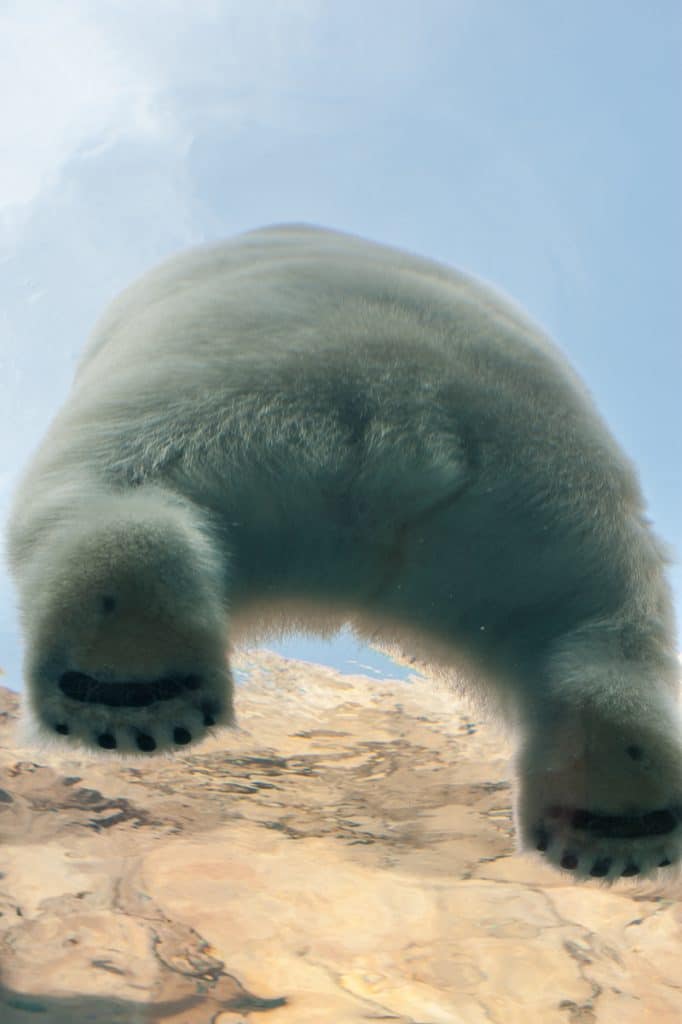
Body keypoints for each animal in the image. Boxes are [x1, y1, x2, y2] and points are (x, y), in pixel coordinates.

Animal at [5, 224, 681, 882]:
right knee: (591, 634)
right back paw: (619, 819)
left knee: (108, 499)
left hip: (202, 415)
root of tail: (402, 417)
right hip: (539, 524)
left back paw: (126, 684)